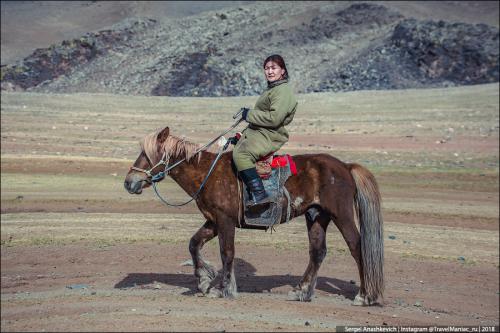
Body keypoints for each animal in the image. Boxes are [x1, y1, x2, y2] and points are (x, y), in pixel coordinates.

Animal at [124, 126, 382, 304]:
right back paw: (302, 291)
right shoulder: (213, 221)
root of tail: (345, 167)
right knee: (317, 252)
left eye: (148, 154)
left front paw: (224, 289)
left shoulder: (225, 221)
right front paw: (204, 280)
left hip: (341, 215)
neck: (207, 173)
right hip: (317, 216)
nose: (129, 182)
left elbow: (227, 253)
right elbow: (194, 244)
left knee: (357, 247)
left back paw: (364, 296)